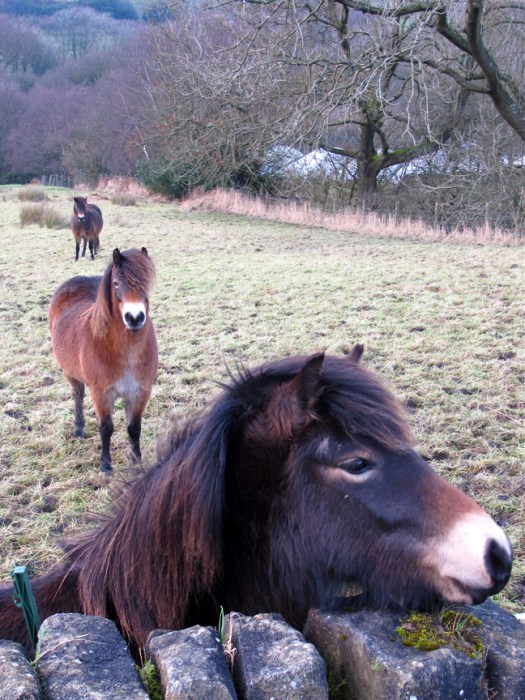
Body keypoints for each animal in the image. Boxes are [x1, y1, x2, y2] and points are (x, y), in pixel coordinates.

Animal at [48, 247, 157, 472]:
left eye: (146, 282)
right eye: (116, 283)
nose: (135, 318)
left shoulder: (140, 393)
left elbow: (134, 428)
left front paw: (137, 462)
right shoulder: (102, 394)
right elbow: (106, 428)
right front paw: (106, 465)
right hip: (70, 373)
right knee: (78, 395)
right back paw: (79, 429)